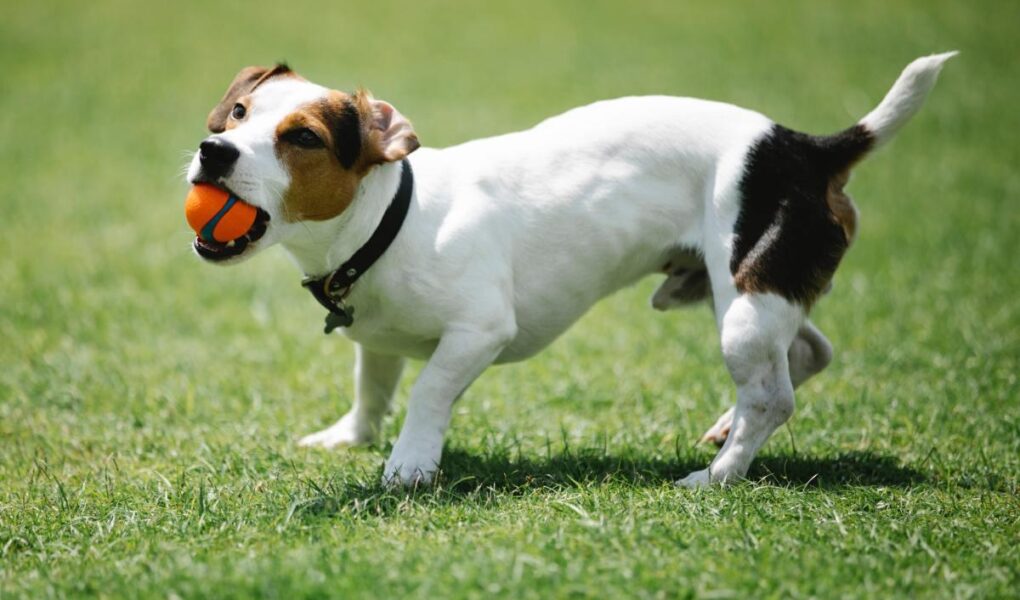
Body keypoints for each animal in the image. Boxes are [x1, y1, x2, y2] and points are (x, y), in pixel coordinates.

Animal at [185, 52, 954, 487]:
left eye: (303, 138)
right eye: (238, 113)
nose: (211, 150)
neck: (389, 218)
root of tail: (808, 148)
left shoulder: (478, 333)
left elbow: (429, 394)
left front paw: (409, 464)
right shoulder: (376, 340)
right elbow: (372, 390)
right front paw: (350, 438)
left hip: (743, 308)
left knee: (773, 397)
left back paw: (717, 475)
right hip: (738, 290)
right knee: (807, 352)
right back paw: (723, 429)